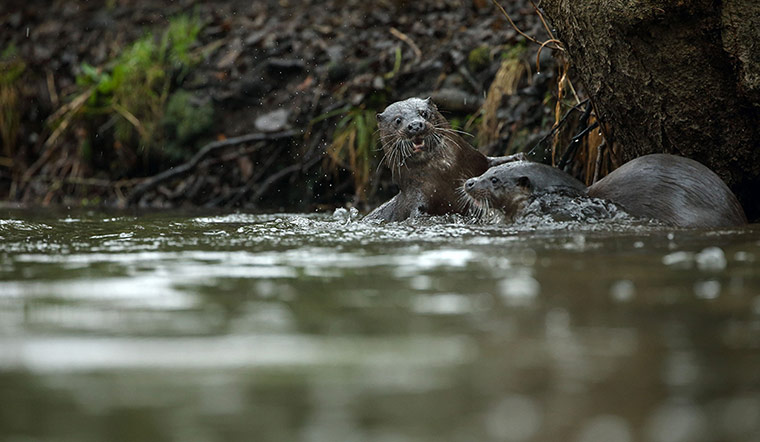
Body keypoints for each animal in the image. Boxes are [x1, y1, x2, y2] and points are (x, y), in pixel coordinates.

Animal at [364, 97, 523, 222]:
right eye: (397, 120)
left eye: (424, 113)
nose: (415, 125)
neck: (446, 171)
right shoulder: (417, 198)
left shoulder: (477, 159)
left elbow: (493, 163)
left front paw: (517, 158)